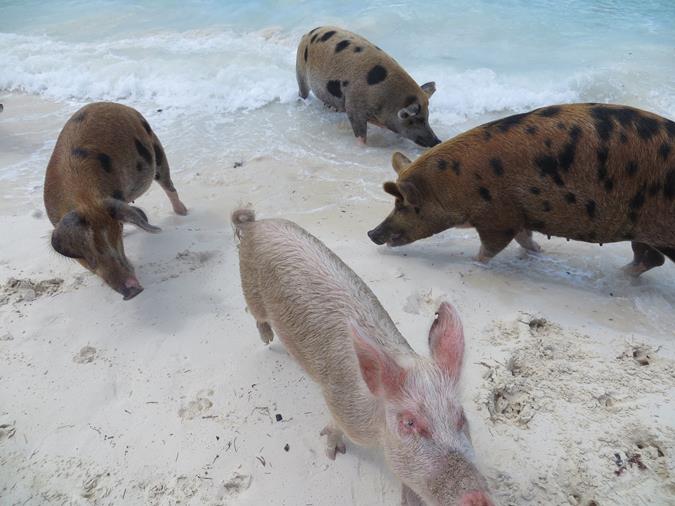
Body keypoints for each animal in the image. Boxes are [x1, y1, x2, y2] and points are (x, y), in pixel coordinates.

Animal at [44, 103, 187, 300]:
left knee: (169, 186)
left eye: (115, 235)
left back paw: (183, 212)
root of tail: (117, 105)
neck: (85, 200)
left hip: (157, 151)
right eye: (86, 253)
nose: (133, 289)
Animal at [294, 26, 438, 147]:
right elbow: (360, 134)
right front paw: (363, 146)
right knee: (302, 92)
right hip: (300, 70)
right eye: (416, 120)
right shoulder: (353, 106)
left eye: (427, 117)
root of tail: (308, 33)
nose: (437, 141)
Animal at [370, 103, 675, 276]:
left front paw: (472, 263)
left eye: (403, 204)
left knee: (654, 258)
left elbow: (492, 247)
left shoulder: (498, 216)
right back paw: (619, 274)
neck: (459, 182)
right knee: (651, 258)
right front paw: (539, 251)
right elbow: (524, 238)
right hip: (641, 230)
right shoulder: (520, 213)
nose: (371, 233)